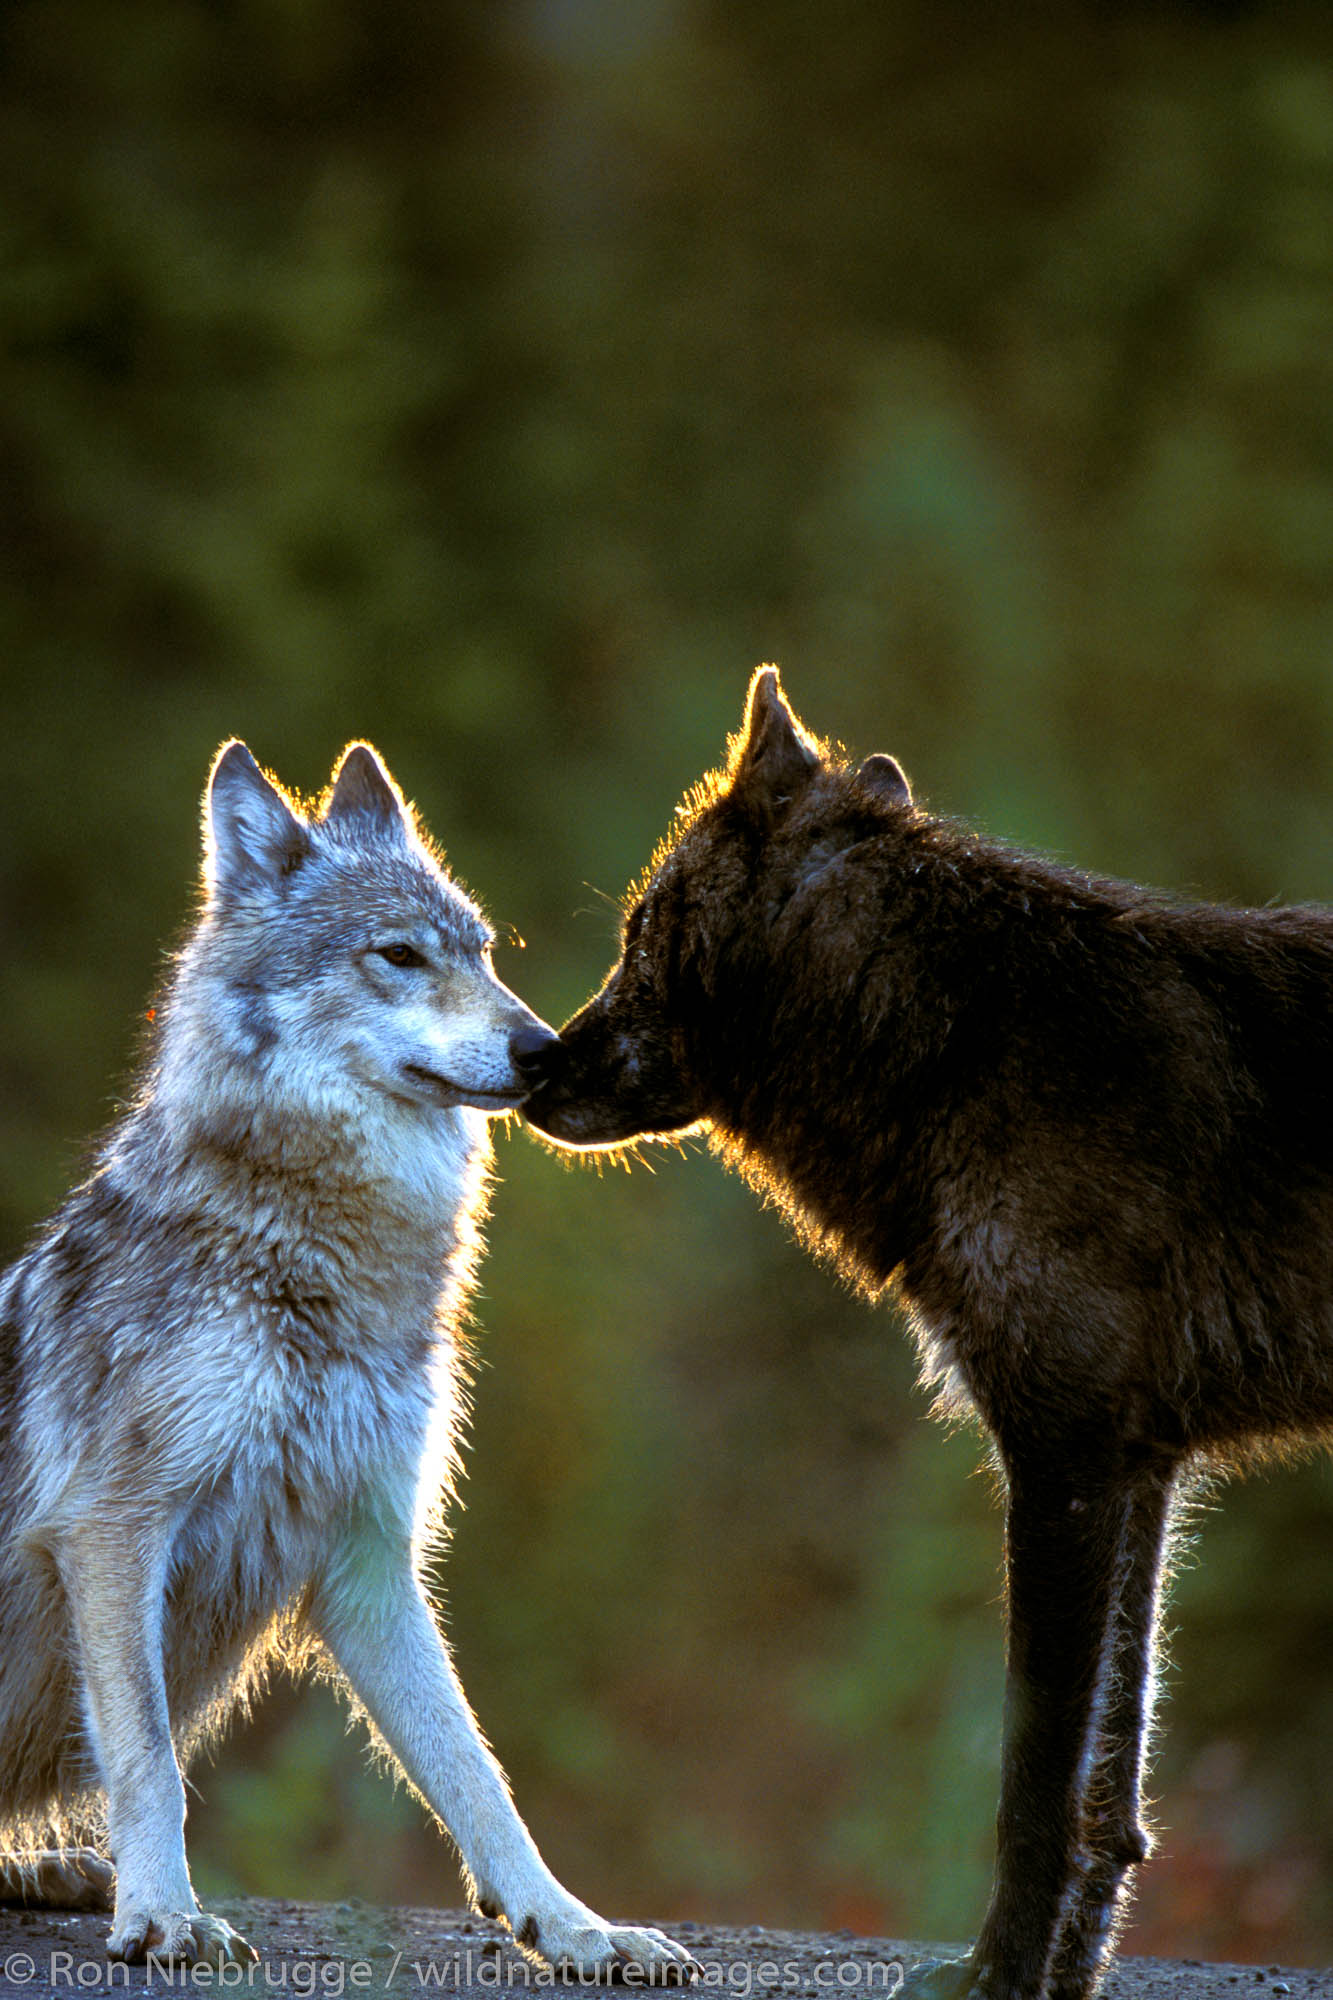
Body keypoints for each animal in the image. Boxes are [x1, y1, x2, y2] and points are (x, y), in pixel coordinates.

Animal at [5, 740, 696, 1984]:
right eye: (399, 955)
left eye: (483, 953)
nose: (544, 1048)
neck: (320, 1264)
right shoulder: (112, 1529)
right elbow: (149, 1759)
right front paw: (164, 1914)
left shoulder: (369, 1554)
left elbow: (478, 1773)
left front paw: (572, 1925)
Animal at [520, 668, 1333, 2000]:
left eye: (641, 931)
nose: (535, 1061)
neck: (957, 1043)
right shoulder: (1137, 1467)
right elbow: (1110, 1791)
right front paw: (1058, 1975)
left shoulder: (1061, 1462)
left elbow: (1033, 1780)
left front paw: (997, 1974)